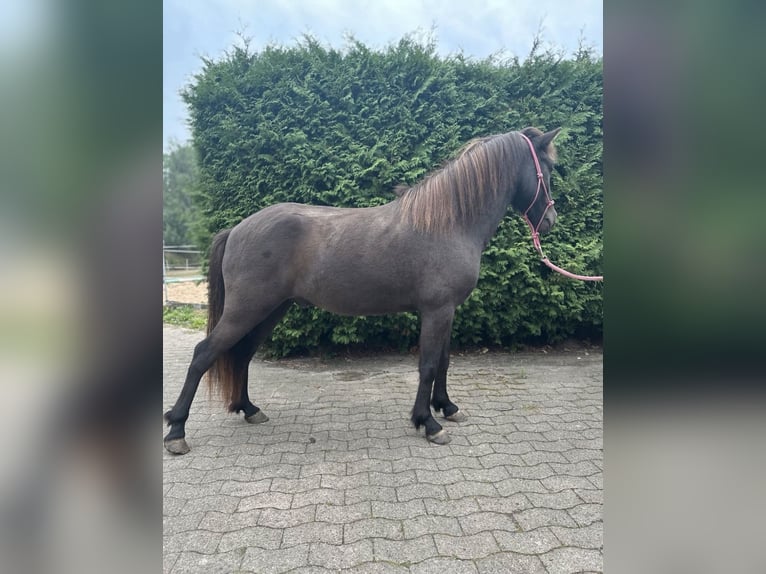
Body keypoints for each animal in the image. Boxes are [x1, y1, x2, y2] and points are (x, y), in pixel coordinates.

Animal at [164, 126, 561, 454]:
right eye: (548, 169)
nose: (550, 221)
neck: (448, 222)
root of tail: (237, 229)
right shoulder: (436, 311)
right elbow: (429, 364)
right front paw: (428, 423)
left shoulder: (448, 311)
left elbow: (444, 362)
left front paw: (447, 408)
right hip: (246, 309)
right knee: (204, 354)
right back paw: (176, 432)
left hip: (270, 310)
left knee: (242, 354)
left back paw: (249, 410)